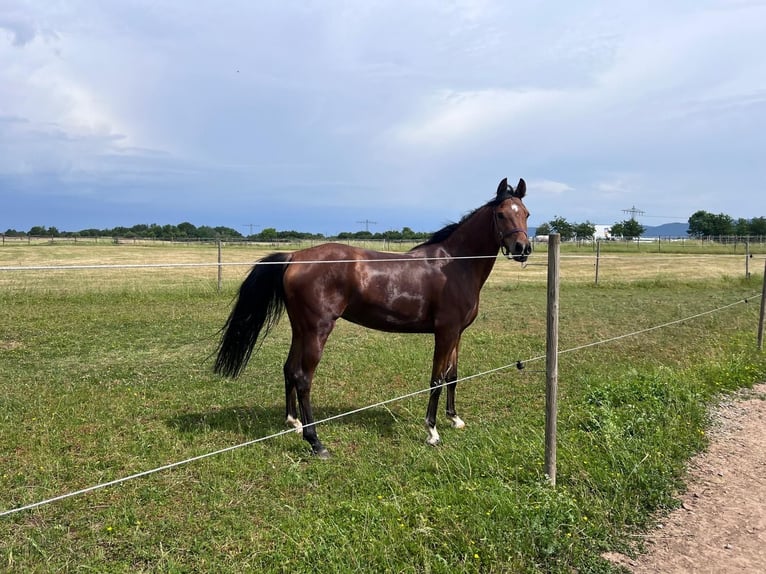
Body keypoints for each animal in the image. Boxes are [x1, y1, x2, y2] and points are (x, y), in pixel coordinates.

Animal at [214, 178, 531, 458]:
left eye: (526, 213)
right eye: (501, 214)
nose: (523, 249)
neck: (453, 265)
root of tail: (295, 257)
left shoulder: (458, 333)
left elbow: (452, 376)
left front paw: (455, 419)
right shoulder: (445, 333)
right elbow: (437, 380)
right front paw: (432, 431)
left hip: (301, 329)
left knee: (290, 369)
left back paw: (294, 423)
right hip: (317, 330)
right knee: (304, 377)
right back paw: (316, 442)